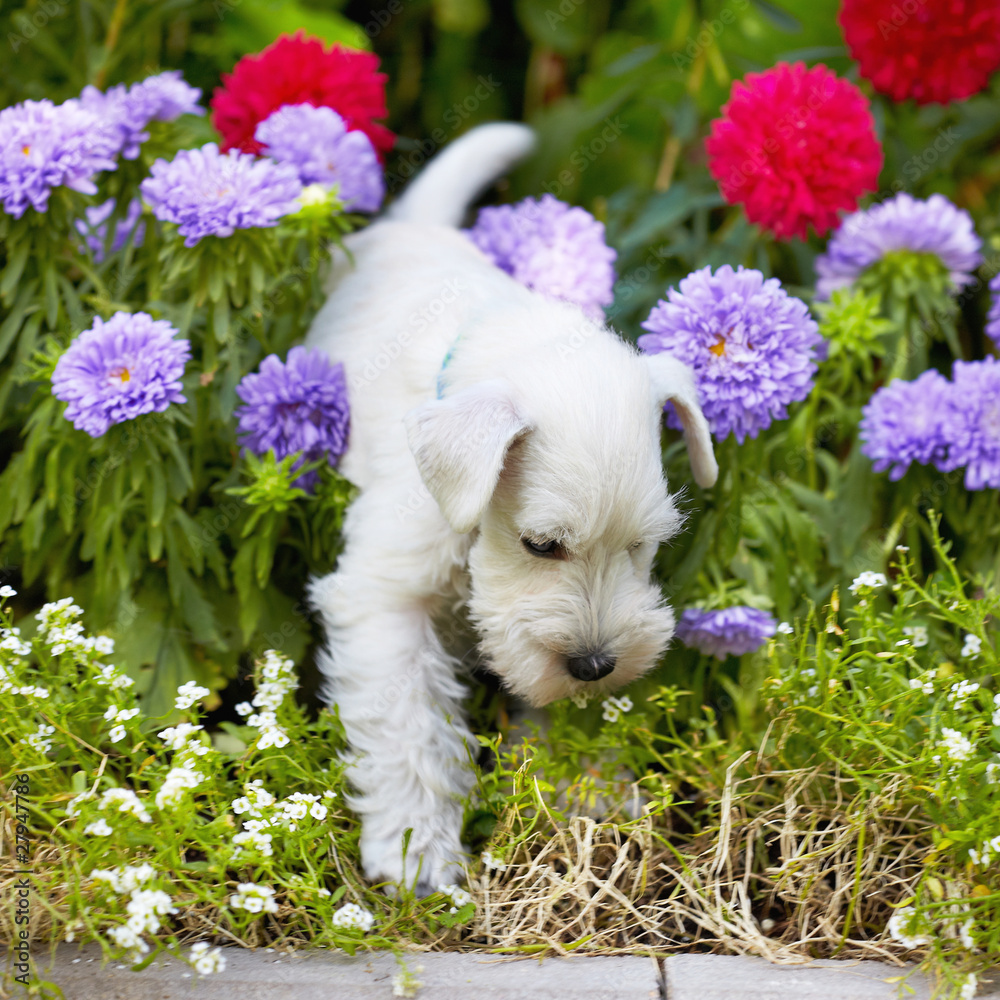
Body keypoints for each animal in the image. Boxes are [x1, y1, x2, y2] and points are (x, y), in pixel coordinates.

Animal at [306, 121, 720, 896]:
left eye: (641, 545)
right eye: (540, 544)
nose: (595, 665)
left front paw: (581, 784)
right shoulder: (385, 594)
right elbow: (409, 725)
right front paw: (417, 853)